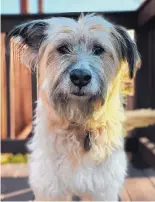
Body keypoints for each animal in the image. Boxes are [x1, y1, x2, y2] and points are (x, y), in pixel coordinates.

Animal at [9, 14, 141, 200]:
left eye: (98, 49)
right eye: (63, 48)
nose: (80, 77)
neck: (78, 123)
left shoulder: (102, 190)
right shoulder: (51, 189)